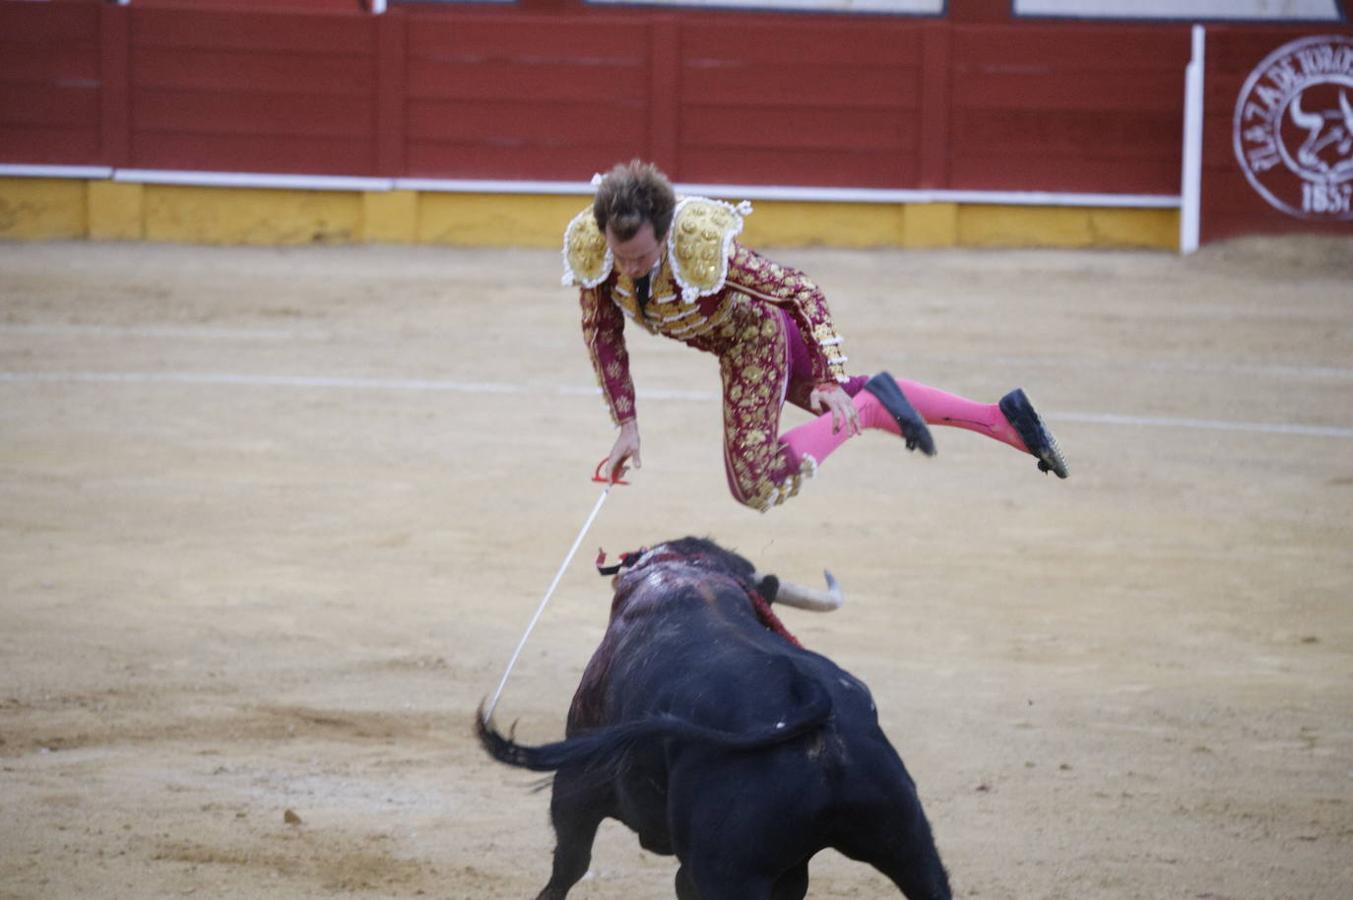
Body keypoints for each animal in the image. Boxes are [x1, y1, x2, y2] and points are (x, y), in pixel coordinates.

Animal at [476, 535, 952, 893]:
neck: (692, 576)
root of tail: (815, 715)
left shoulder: (577, 784)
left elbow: (568, 865)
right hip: (911, 844)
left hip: (722, 871)